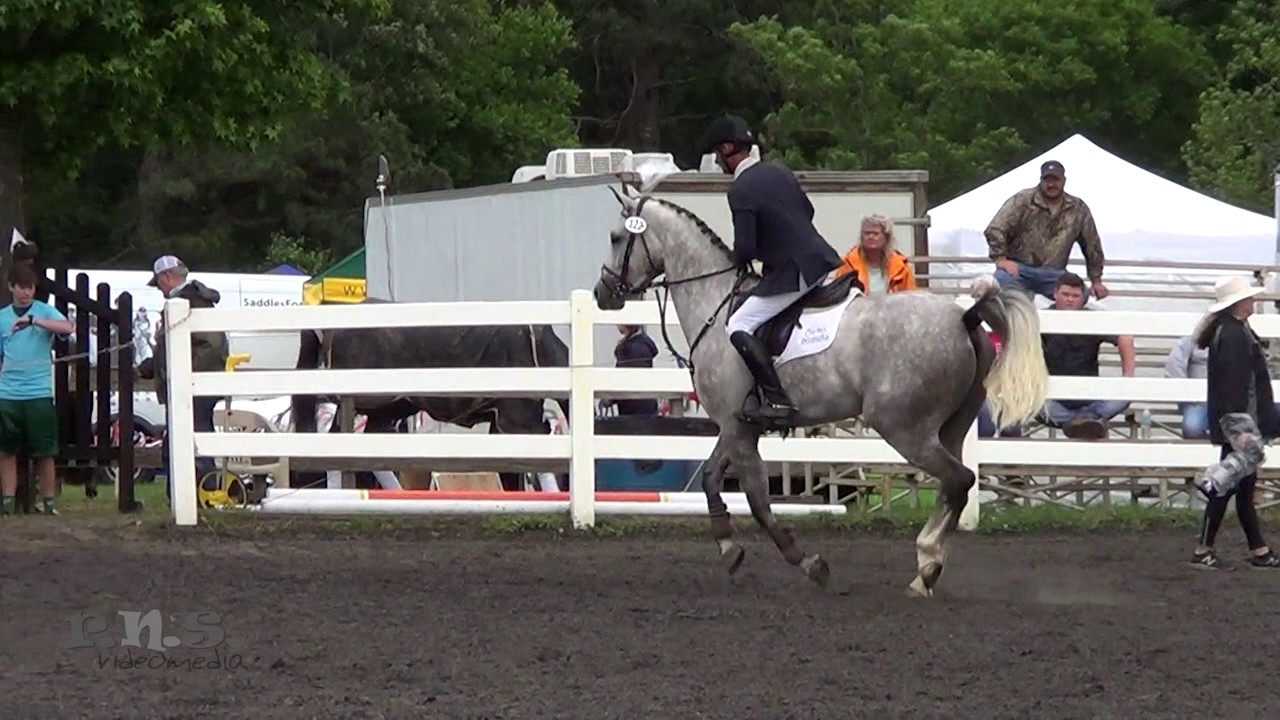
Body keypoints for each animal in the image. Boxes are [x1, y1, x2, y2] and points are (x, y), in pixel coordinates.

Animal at [593, 186, 1048, 597]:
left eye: (615, 237)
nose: (602, 293)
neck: (716, 304)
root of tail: (964, 317)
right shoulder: (736, 423)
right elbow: (708, 478)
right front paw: (728, 547)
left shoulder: (738, 429)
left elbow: (757, 499)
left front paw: (808, 563)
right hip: (950, 425)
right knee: (955, 484)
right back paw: (926, 564)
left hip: (904, 428)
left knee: (959, 479)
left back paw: (927, 567)